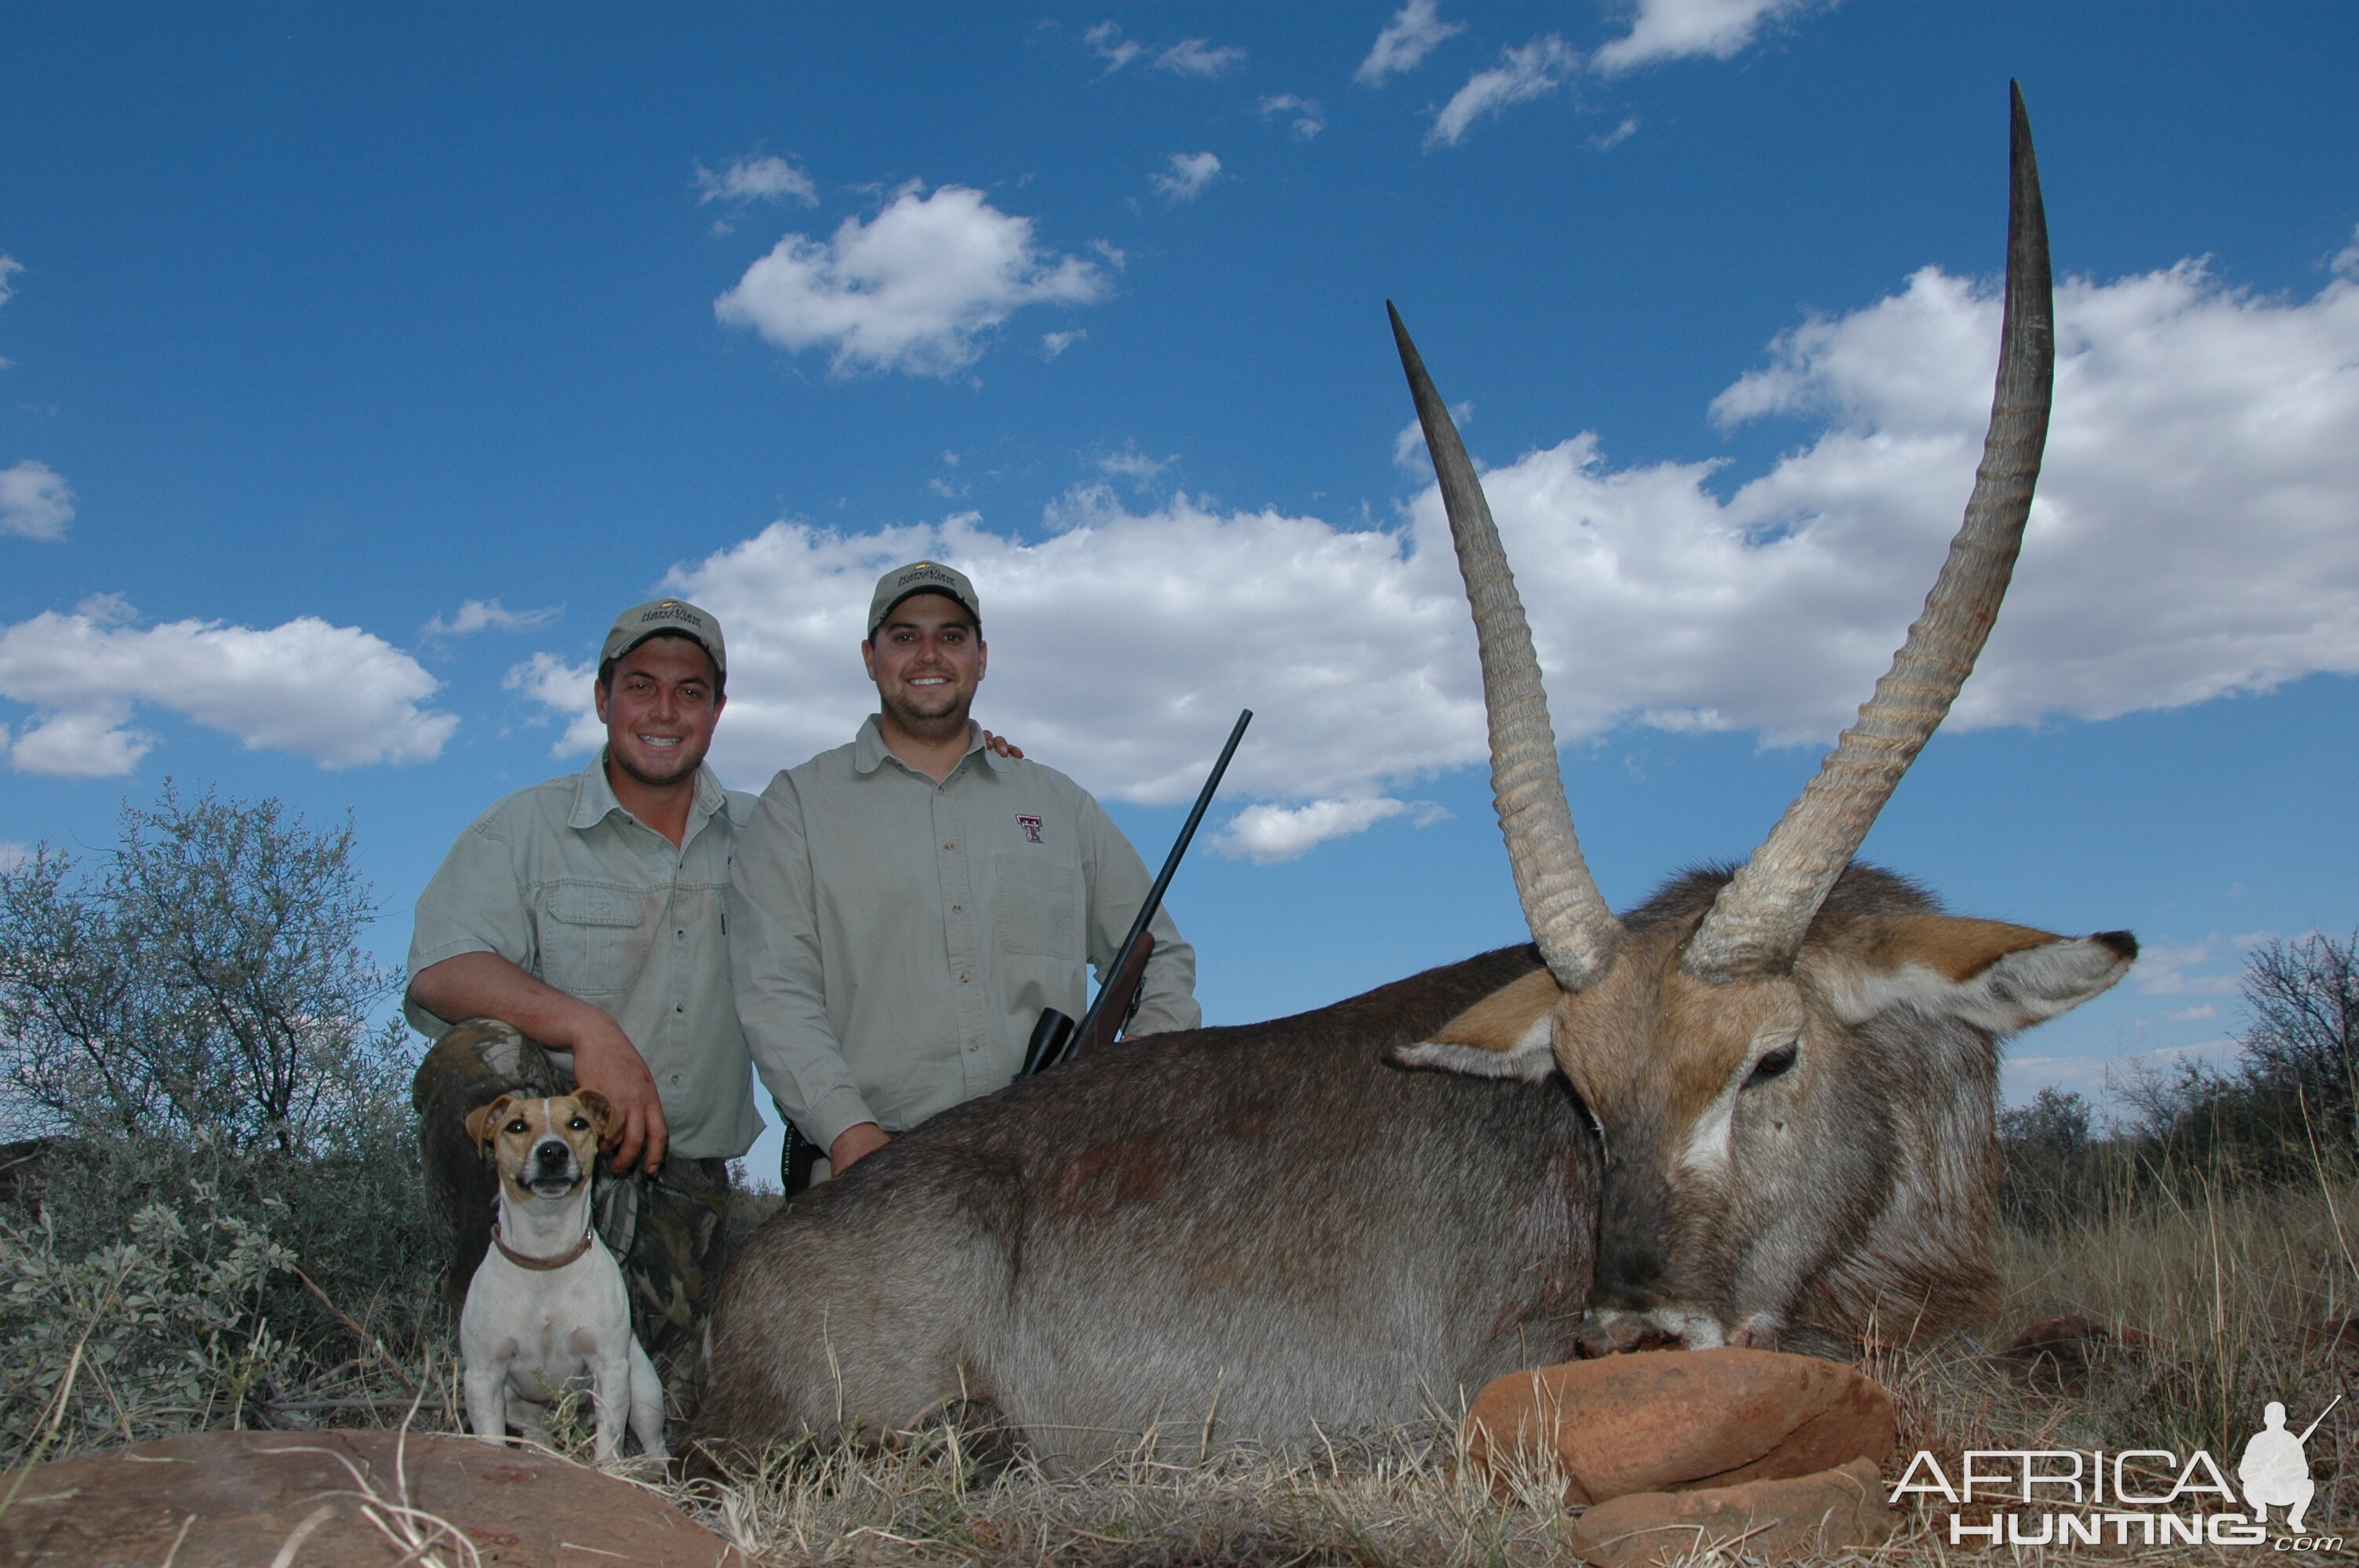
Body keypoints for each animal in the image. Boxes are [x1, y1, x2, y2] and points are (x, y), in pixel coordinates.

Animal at [457, 1089, 665, 1452]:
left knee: (655, 1447)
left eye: (578, 1123)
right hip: (520, 1409)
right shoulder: (483, 1376)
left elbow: (609, 1443)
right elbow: (491, 1440)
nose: (553, 1151)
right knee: (536, 1438)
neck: (547, 1258)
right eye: (517, 1126)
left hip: (643, 1395)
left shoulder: (609, 1369)